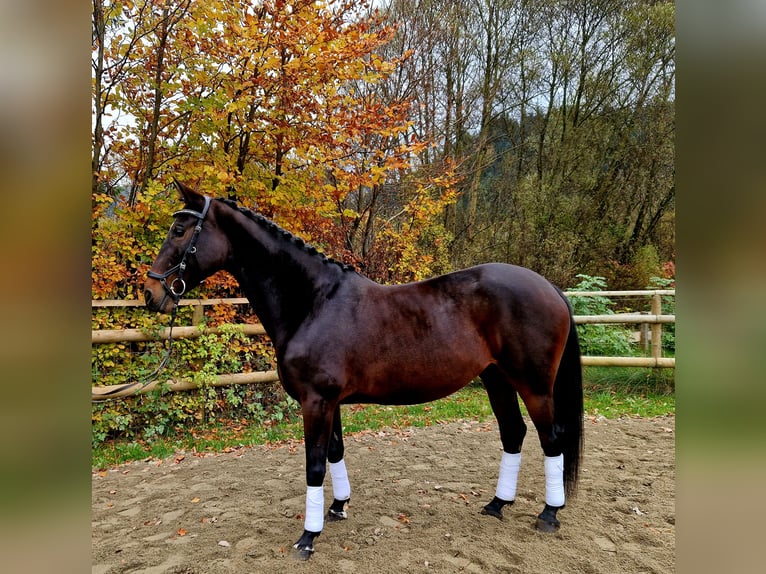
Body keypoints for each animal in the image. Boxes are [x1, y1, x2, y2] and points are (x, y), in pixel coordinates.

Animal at [144, 182, 584, 560]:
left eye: (180, 229)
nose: (151, 294)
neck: (313, 303)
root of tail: (549, 287)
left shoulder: (316, 401)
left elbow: (314, 464)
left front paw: (308, 536)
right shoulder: (328, 401)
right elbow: (335, 452)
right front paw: (338, 508)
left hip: (534, 385)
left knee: (551, 438)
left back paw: (549, 513)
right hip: (496, 379)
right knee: (513, 433)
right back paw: (497, 504)